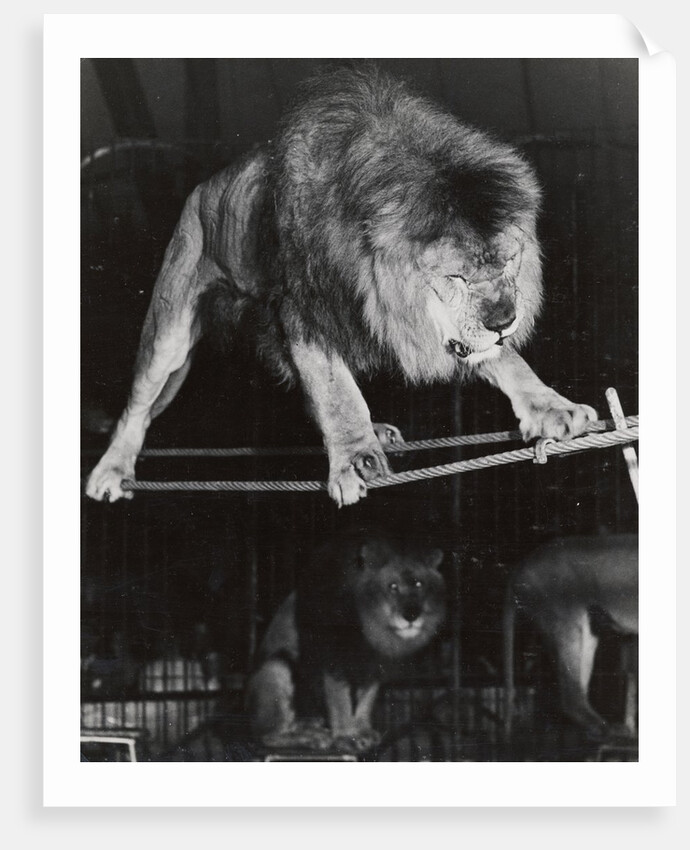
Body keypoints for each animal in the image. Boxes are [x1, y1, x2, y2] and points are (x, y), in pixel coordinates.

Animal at [85, 65, 597, 507]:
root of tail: (202, 187)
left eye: (509, 260)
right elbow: (336, 393)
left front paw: (554, 408)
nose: (505, 320)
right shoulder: (305, 312)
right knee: (136, 405)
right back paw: (111, 469)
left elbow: (508, 362)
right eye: (455, 277)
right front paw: (354, 458)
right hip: (169, 325)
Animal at [245, 533, 446, 754]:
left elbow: (366, 700)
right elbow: (340, 701)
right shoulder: (334, 659)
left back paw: (311, 726)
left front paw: (362, 732)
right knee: (264, 736)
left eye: (419, 584)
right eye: (393, 587)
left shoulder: (374, 666)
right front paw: (346, 737)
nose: (411, 615)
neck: (374, 628)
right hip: (276, 668)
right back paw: (310, 737)